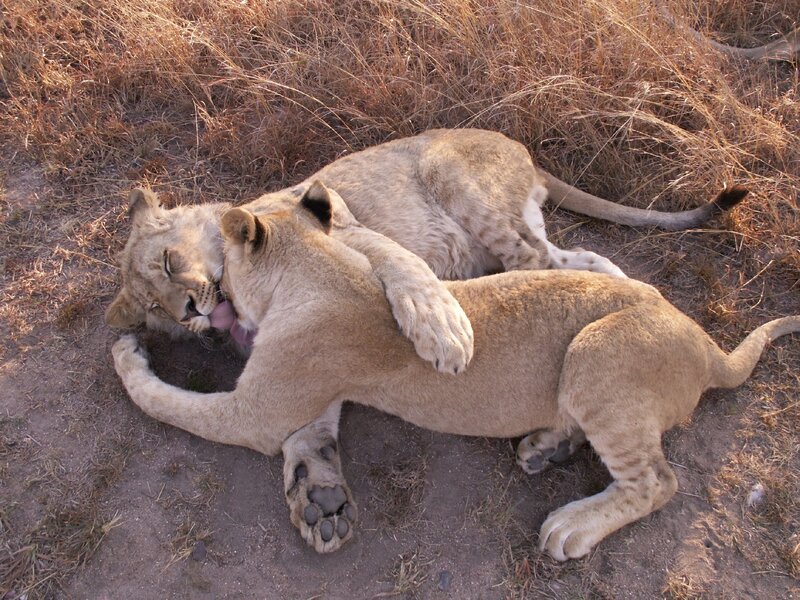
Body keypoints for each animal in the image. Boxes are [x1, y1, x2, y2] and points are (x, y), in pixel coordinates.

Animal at [106, 128, 747, 551]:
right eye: (155, 312)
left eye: (167, 263)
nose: (191, 311)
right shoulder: (298, 380)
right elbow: (309, 432)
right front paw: (319, 500)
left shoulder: (345, 226)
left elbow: (170, 403)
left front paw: (441, 328)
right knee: (585, 259)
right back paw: (553, 437)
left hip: (460, 185)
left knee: (536, 265)